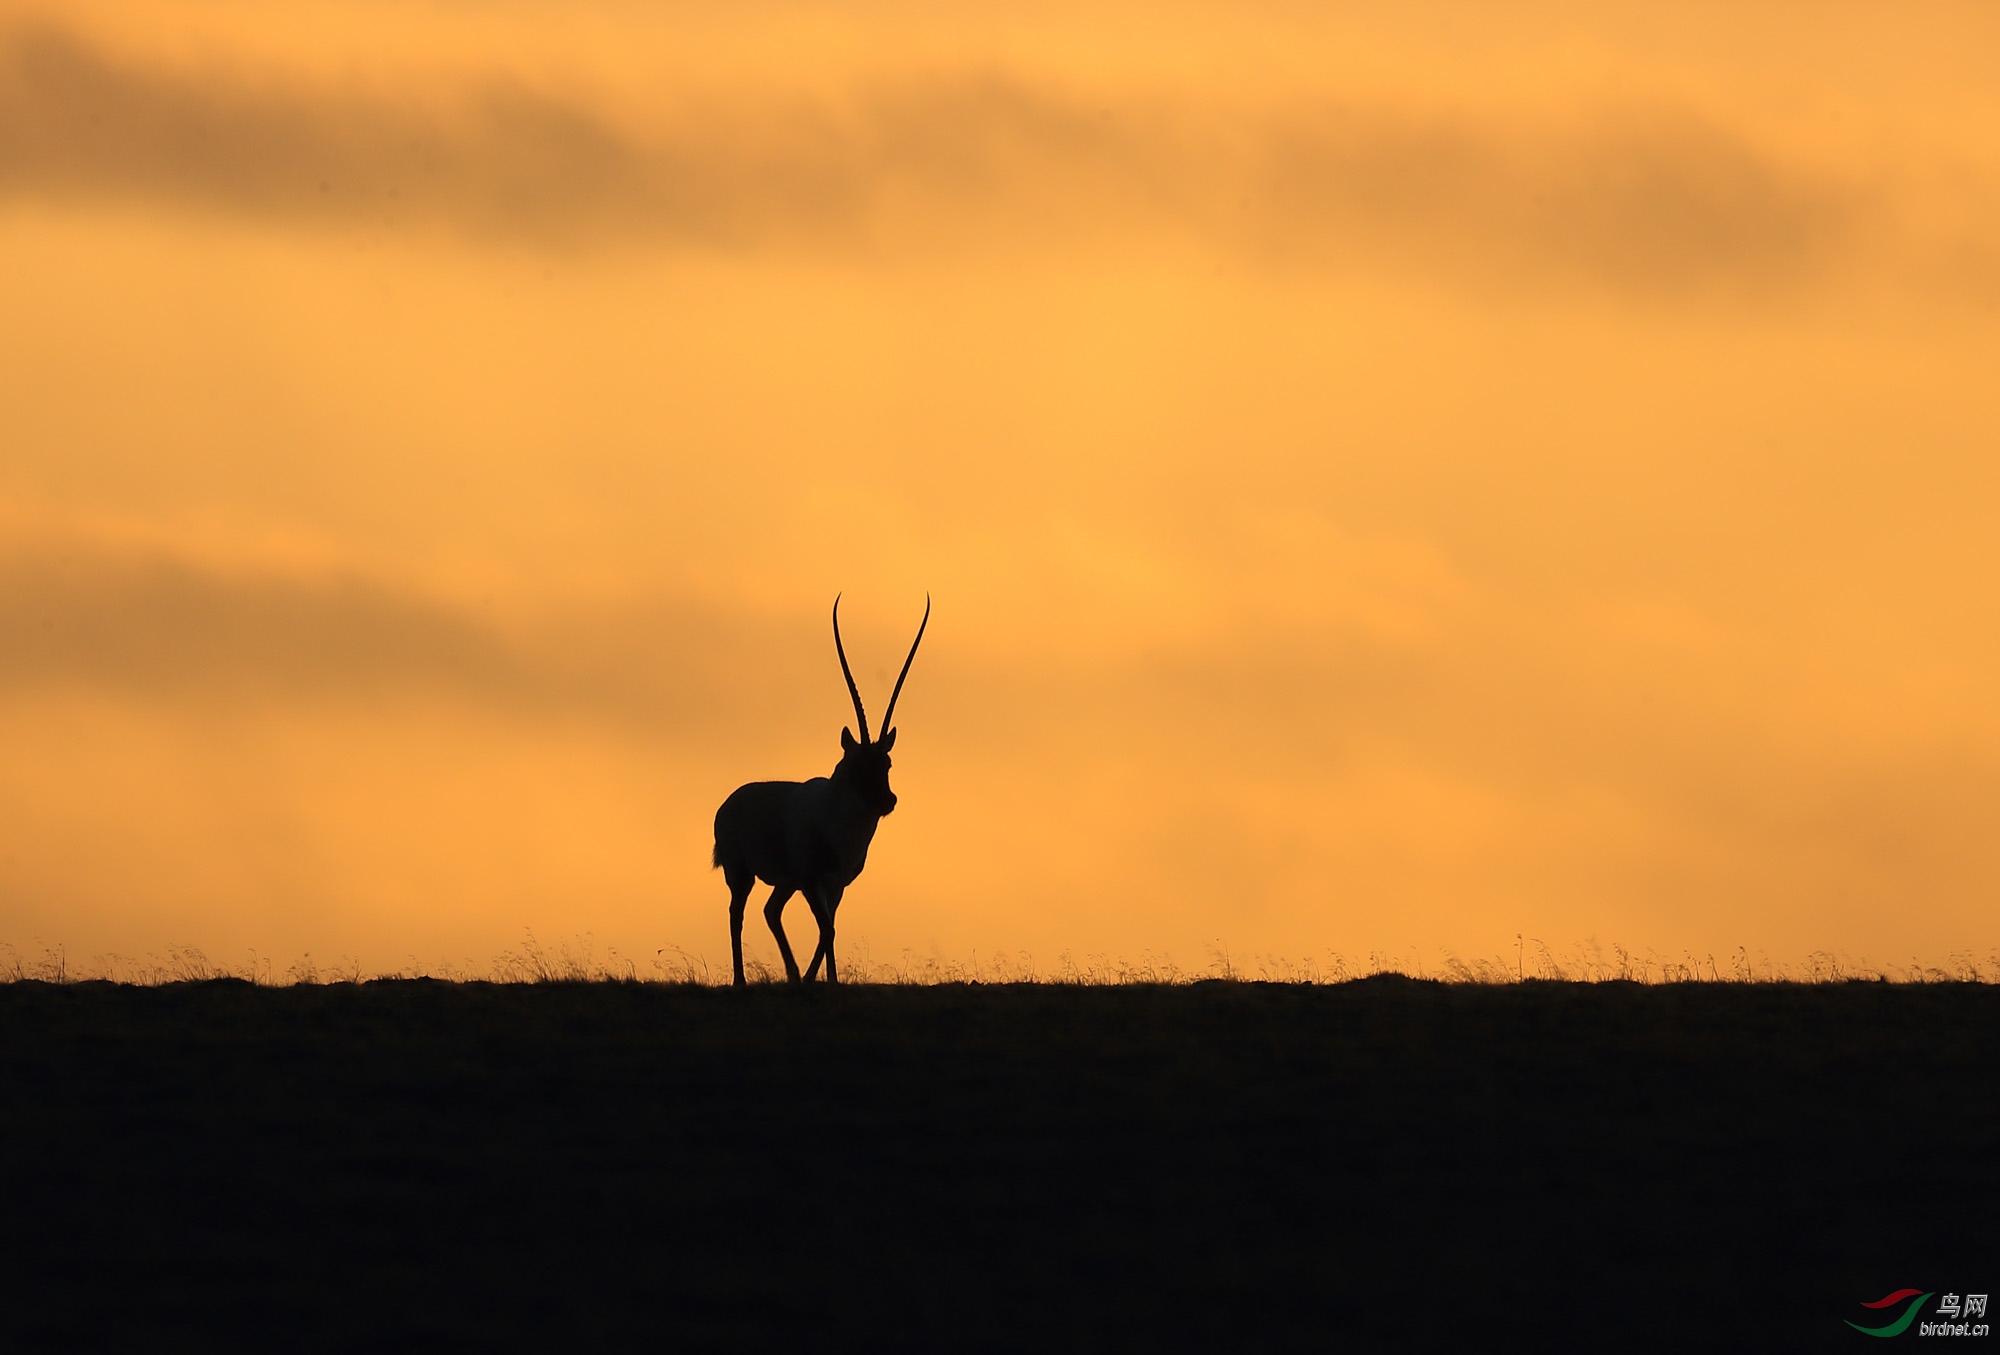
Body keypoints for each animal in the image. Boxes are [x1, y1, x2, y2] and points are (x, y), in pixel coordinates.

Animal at [712, 595, 928, 987]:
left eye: (886, 764)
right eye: (858, 766)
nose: (887, 800)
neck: (838, 819)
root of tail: (727, 804)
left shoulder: (835, 885)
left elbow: (830, 929)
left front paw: (826, 979)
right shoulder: (813, 881)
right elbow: (827, 930)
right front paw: (822, 979)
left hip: (785, 882)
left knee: (770, 910)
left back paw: (794, 976)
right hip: (740, 871)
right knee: (737, 913)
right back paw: (741, 980)